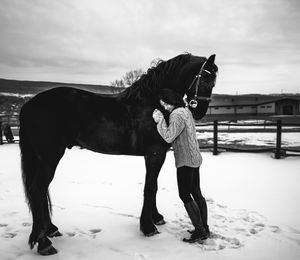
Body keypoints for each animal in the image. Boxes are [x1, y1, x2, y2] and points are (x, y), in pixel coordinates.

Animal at [19, 52, 218, 254]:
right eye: (206, 79)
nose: (200, 112)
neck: (151, 104)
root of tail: (28, 105)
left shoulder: (154, 155)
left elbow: (153, 185)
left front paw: (156, 218)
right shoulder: (155, 153)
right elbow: (150, 187)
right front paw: (148, 227)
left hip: (42, 159)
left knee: (40, 190)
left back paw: (51, 230)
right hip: (50, 158)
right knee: (37, 189)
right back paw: (44, 243)